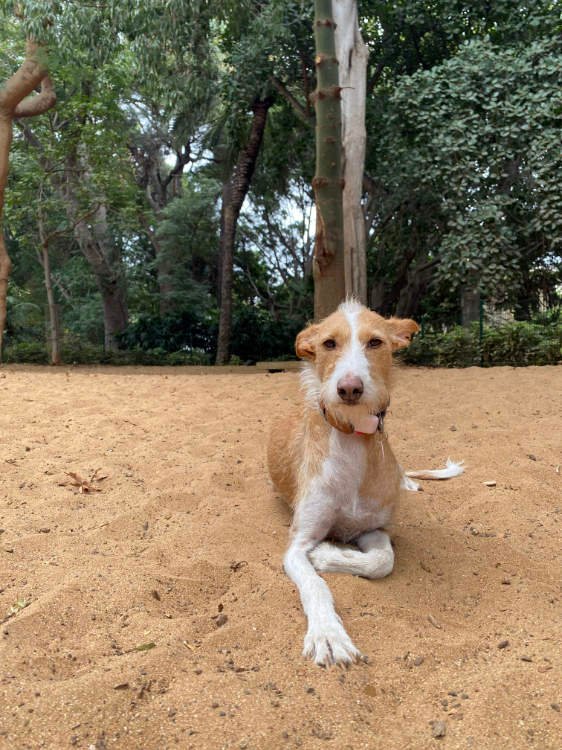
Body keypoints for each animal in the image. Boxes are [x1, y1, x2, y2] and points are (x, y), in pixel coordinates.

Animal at [270, 302, 462, 668]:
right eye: (329, 343)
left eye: (375, 342)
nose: (349, 388)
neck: (353, 438)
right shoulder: (298, 542)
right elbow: (315, 585)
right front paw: (328, 635)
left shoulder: (375, 528)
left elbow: (382, 561)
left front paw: (328, 553)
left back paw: (409, 484)